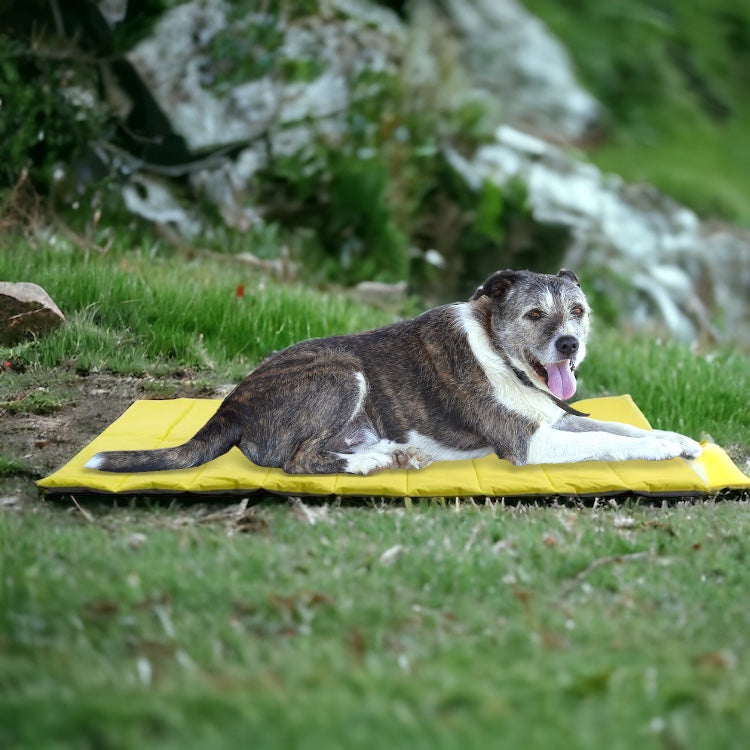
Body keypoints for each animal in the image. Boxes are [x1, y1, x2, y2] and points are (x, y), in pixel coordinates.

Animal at [86, 272, 704, 476]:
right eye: (534, 315)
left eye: (577, 310)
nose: (569, 343)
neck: (498, 351)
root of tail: (229, 404)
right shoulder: (530, 445)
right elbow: (610, 440)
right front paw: (660, 450)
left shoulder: (554, 419)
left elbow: (621, 427)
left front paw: (676, 439)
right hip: (341, 374)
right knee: (296, 461)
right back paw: (373, 462)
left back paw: (389, 452)